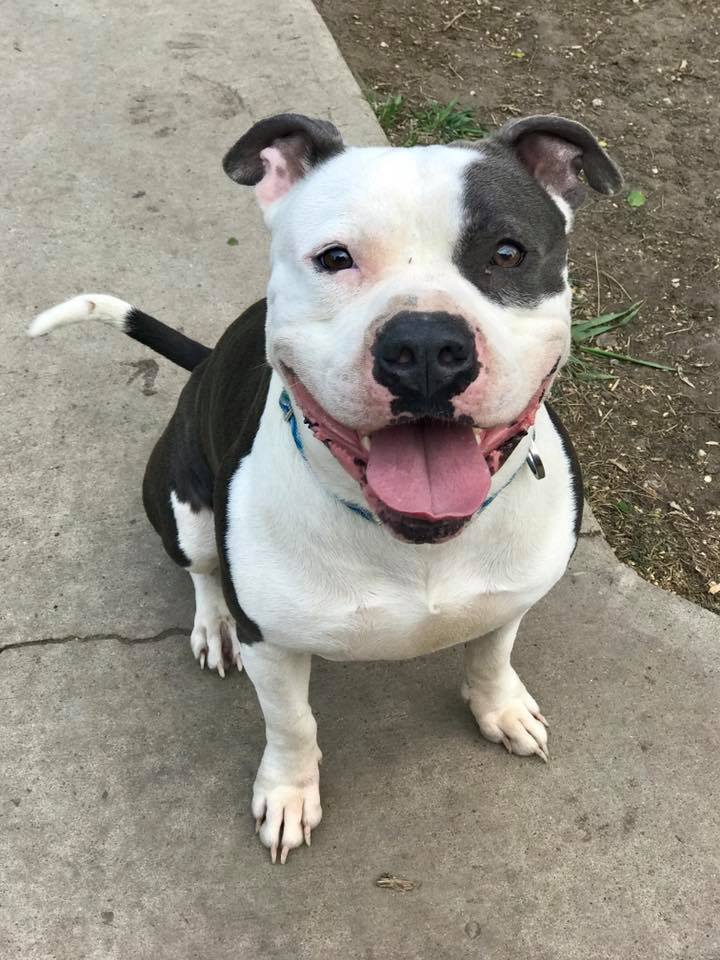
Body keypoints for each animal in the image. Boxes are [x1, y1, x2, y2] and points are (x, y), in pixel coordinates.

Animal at [31, 110, 620, 864]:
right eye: (336, 258)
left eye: (508, 253)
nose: (425, 346)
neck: (417, 545)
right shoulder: (273, 645)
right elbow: (292, 724)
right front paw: (288, 792)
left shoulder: (512, 595)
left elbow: (492, 654)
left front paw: (501, 708)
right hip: (182, 503)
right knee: (201, 568)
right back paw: (212, 623)